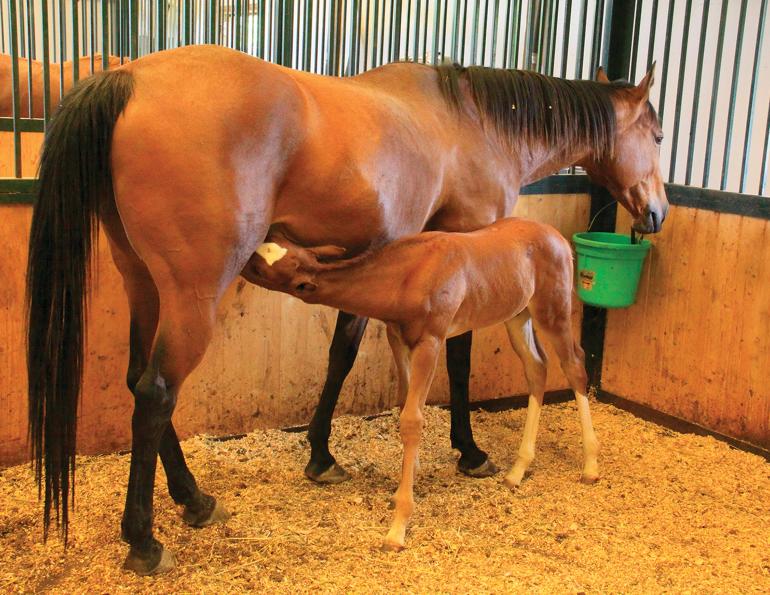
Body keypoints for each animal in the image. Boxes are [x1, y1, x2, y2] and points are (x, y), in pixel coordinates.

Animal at [243, 217, 598, 551]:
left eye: (260, 266)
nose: (242, 262)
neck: (407, 275)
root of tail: (557, 237)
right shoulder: (398, 337)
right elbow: (404, 403)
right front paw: (403, 486)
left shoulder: (431, 341)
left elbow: (413, 420)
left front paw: (398, 525)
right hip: (517, 314)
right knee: (536, 367)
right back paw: (517, 471)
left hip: (552, 310)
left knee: (574, 365)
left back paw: (590, 465)